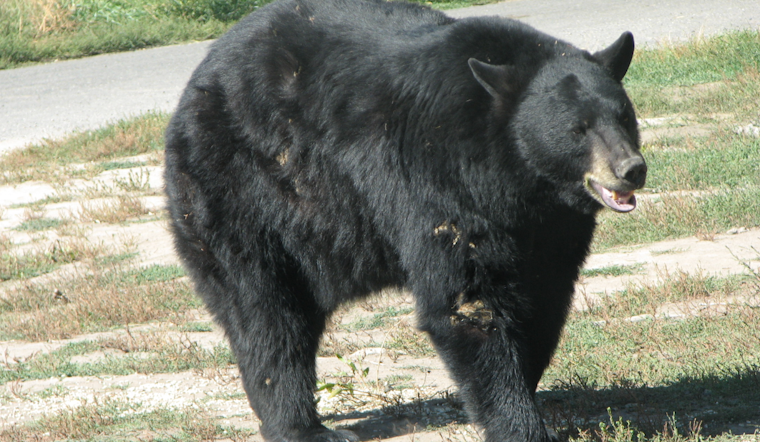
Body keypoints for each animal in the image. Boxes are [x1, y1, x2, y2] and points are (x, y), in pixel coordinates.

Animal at [163, 0, 647, 441]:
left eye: (624, 115)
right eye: (578, 129)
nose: (631, 169)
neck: (517, 178)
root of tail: (196, 81)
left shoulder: (551, 226)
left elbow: (545, 297)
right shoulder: (440, 182)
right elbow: (466, 303)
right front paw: (519, 423)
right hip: (240, 191)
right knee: (266, 313)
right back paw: (303, 427)